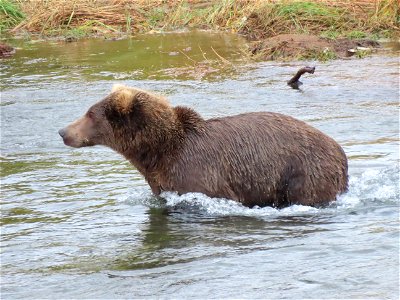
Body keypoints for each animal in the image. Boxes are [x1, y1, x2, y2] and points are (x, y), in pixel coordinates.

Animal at [58, 83, 346, 207]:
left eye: (90, 114)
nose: (62, 132)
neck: (158, 152)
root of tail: (339, 149)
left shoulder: (198, 174)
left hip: (304, 171)